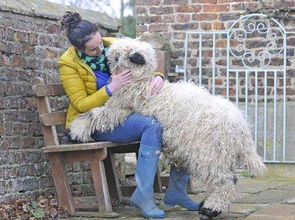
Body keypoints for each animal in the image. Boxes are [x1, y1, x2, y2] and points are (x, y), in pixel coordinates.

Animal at [70, 37, 268, 217]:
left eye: (118, 56)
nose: (107, 56)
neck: (140, 80)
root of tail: (242, 130)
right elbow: (96, 113)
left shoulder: (120, 108)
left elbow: (95, 114)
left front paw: (76, 129)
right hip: (207, 150)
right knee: (228, 178)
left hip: (210, 152)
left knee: (224, 181)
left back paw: (211, 209)